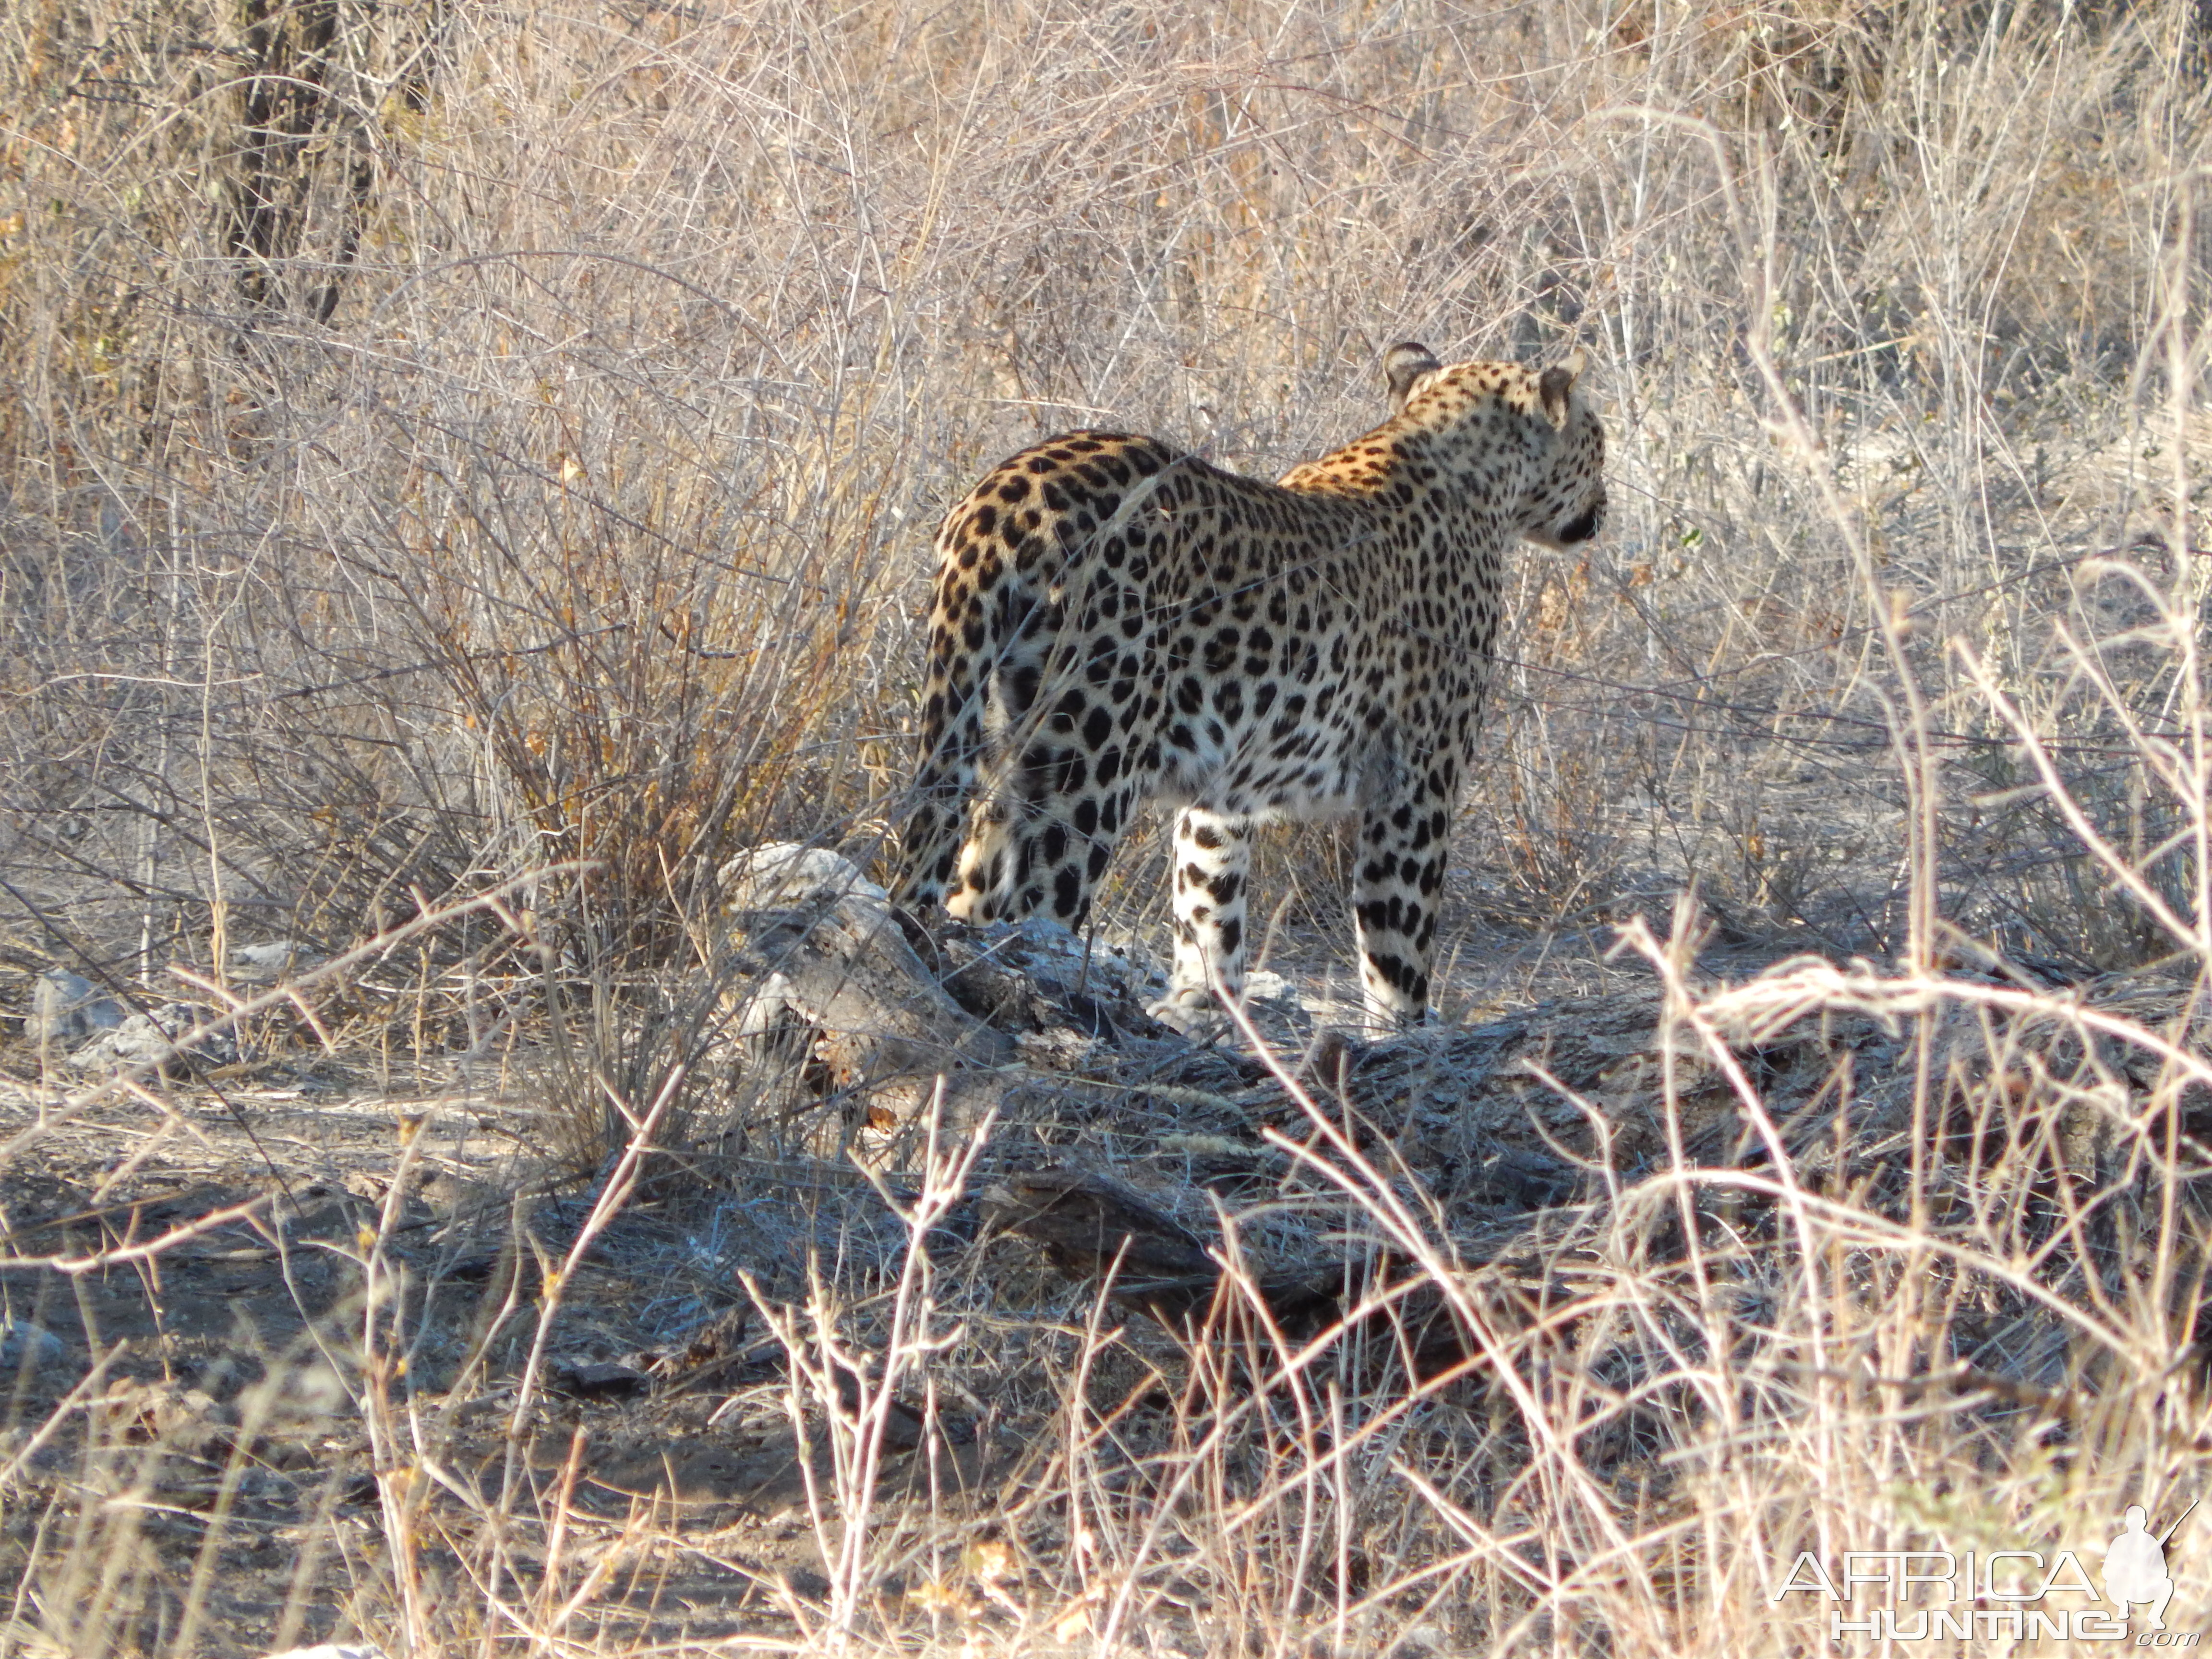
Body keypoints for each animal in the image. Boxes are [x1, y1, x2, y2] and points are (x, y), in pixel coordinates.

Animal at [893, 345, 1610, 1035]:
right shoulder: (1418, 788)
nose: (1603, 510)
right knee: (1035, 913)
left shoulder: (1220, 797)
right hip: (1085, 774)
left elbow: (1209, 904)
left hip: (992, 753)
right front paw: (1406, 1037)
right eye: (1599, 439)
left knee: (967, 899)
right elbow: (1397, 944)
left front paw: (1202, 1009)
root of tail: (1000, 498)